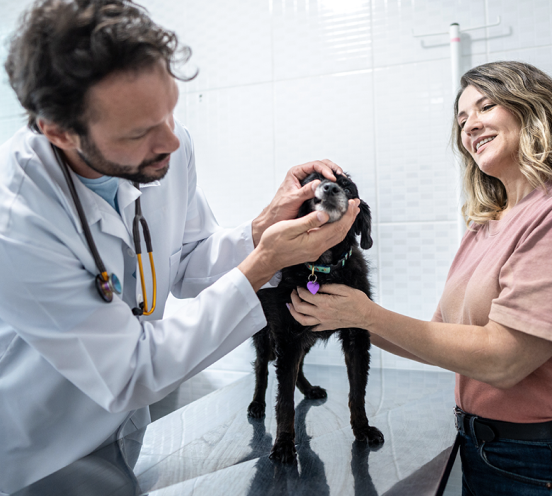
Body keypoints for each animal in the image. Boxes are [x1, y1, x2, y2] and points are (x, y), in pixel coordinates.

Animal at [249, 172, 384, 464]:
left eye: (348, 187)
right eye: (310, 181)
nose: (330, 188)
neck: (323, 268)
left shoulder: (356, 337)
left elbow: (358, 390)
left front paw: (363, 428)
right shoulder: (288, 337)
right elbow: (285, 400)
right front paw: (284, 443)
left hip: (306, 338)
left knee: (297, 367)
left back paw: (309, 389)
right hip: (266, 336)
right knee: (262, 368)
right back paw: (256, 403)